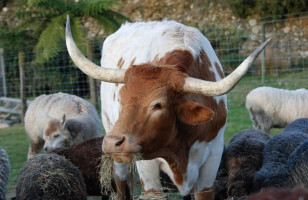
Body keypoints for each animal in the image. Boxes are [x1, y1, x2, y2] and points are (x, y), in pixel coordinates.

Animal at [65, 16, 270, 200]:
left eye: (158, 104)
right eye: (121, 99)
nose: (112, 142)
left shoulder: (212, 158)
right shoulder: (147, 168)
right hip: (114, 140)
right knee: (121, 182)